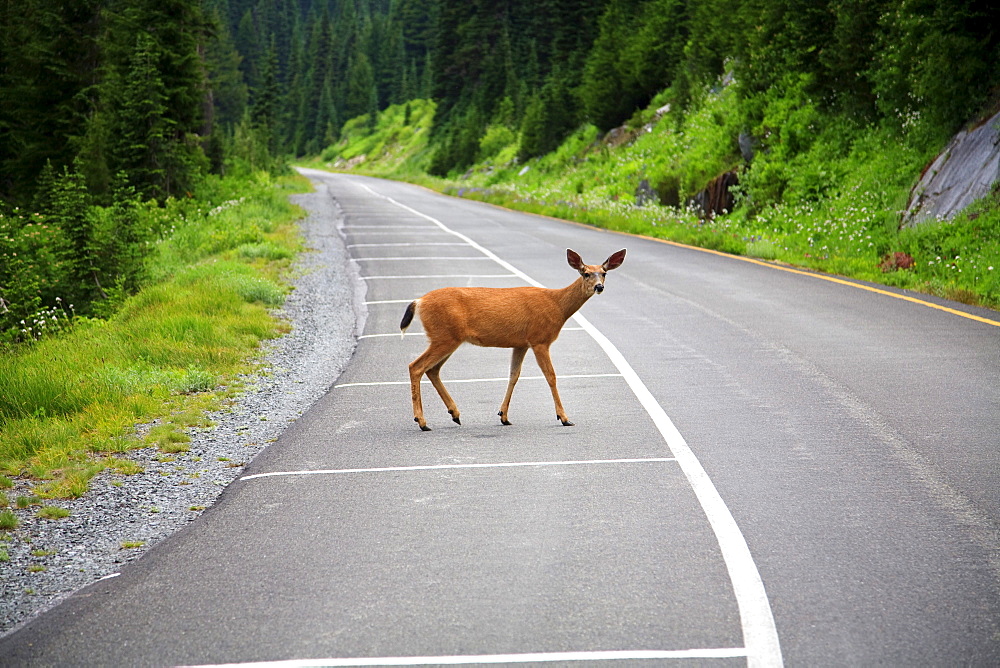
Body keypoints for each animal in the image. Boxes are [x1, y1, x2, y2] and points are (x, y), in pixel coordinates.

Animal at [398, 248, 624, 430]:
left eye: (604, 273)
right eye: (586, 273)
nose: (599, 287)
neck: (558, 306)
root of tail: (419, 301)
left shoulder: (521, 343)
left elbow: (514, 375)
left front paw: (503, 416)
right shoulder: (539, 339)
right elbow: (551, 376)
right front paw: (564, 417)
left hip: (449, 338)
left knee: (432, 370)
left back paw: (455, 414)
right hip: (443, 336)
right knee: (416, 366)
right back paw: (422, 422)